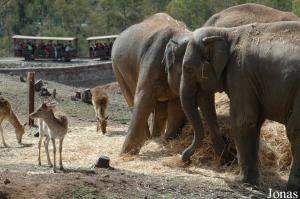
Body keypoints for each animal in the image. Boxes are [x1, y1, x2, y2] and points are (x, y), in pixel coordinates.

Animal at [112, 3, 300, 162]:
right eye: (187, 69)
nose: (185, 158)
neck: (181, 34)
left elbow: (177, 108)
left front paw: (166, 142)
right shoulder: (152, 61)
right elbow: (144, 99)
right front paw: (126, 154)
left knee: (160, 111)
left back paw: (155, 139)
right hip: (117, 67)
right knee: (133, 101)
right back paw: (147, 140)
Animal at [179, 21, 300, 190]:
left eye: (188, 69)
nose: (185, 160)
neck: (226, 33)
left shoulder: (240, 73)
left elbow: (244, 120)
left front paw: (240, 181)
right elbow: (254, 122)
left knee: (295, 131)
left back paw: (292, 187)